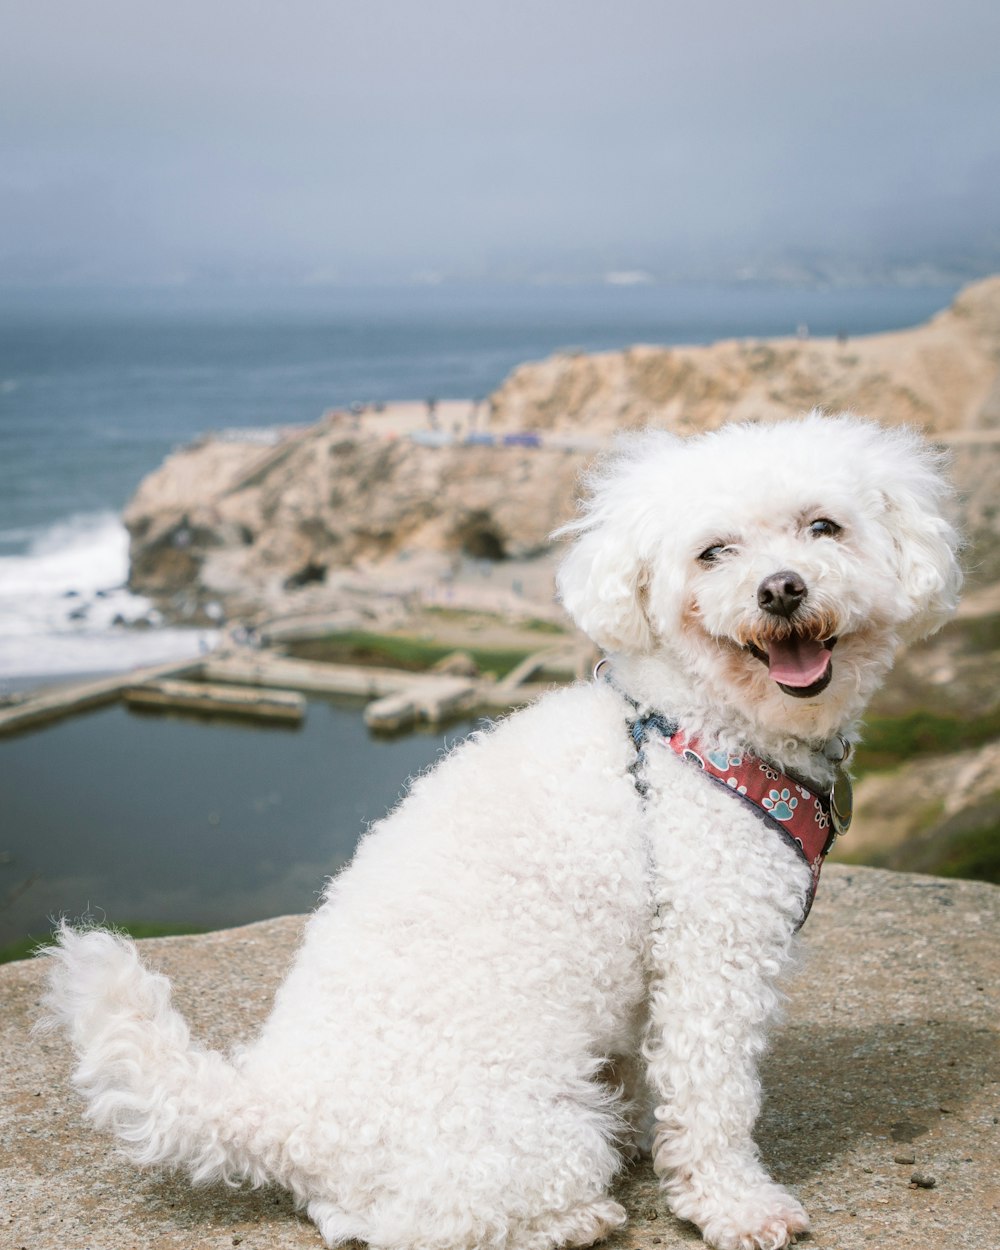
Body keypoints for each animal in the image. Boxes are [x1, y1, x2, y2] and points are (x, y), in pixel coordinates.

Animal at [40, 417, 960, 1250]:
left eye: (823, 527)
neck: (700, 727)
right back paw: (575, 1218)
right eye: (714, 552)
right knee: (430, 1222)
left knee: (355, 1217)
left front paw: (650, 1142)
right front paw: (736, 1205)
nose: (782, 589)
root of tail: (274, 1112)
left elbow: (646, 1067)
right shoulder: (714, 952)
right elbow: (713, 1099)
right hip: (532, 1127)